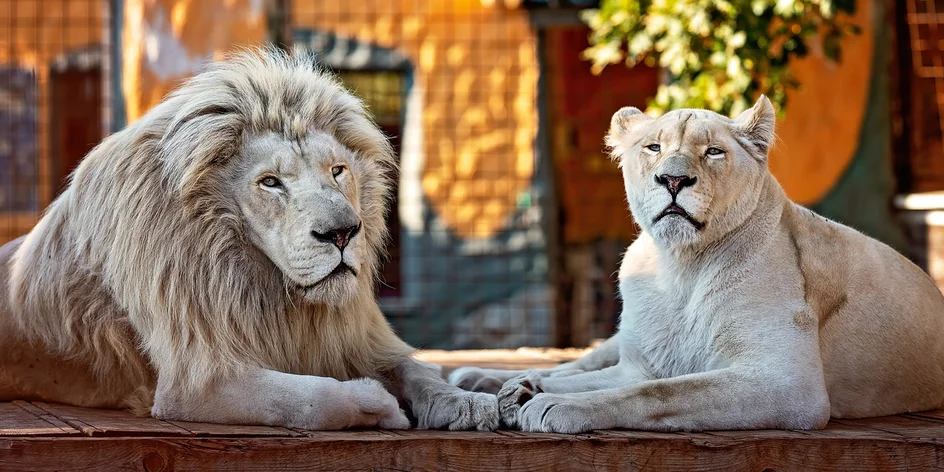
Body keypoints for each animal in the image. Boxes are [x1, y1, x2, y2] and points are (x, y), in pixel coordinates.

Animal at [0, 48, 502, 432]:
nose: (342, 233)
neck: (267, 286)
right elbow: (310, 398)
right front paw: (379, 404)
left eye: (337, 170)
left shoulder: (353, 336)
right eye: (271, 183)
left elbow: (414, 368)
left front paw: (464, 402)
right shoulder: (198, 380)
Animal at [448, 97, 944, 434]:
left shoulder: (789, 384)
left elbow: (658, 391)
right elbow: (610, 380)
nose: (673, 179)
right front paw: (527, 392)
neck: (680, 267)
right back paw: (486, 377)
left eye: (713, 152)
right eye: (653, 147)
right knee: (573, 365)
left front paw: (554, 406)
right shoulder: (637, 363)